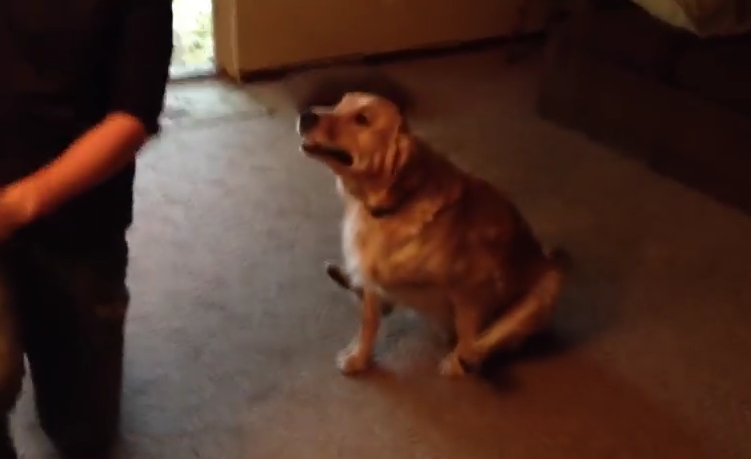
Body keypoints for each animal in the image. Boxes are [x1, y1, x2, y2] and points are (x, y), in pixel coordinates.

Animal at [296, 92, 568, 378]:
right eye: (338, 103)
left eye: (362, 119)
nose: (306, 114)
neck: (386, 209)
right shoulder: (371, 278)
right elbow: (369, 323)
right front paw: (359, 358)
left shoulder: (472, 285)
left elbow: (467, 330)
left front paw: (458, 361)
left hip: (551, 283)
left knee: (493, 337)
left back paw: (469, 359)